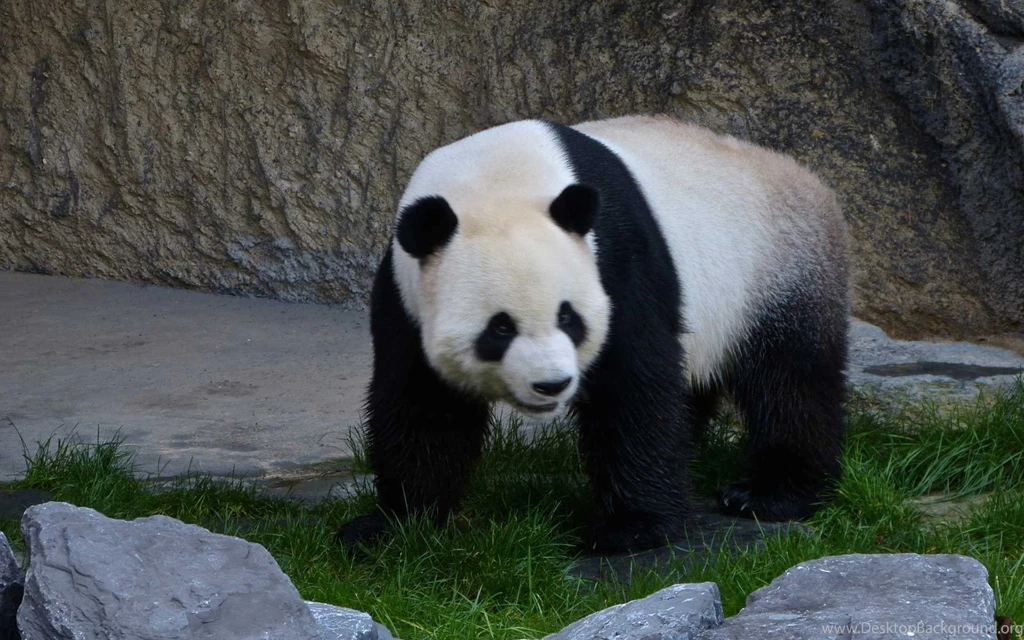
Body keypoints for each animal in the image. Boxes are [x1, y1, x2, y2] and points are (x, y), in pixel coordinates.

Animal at [338, 115, 849, 553]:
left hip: (775, 272)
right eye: (499, 328)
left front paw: (632, 528)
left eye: (569, 318)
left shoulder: (612, 259)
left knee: (791, 382)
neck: (493, 181)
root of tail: (811, 180)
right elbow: (423, 404)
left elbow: (634, 385)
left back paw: (769, 493)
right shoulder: (405, 293)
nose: (552, 384)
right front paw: (393, 524)